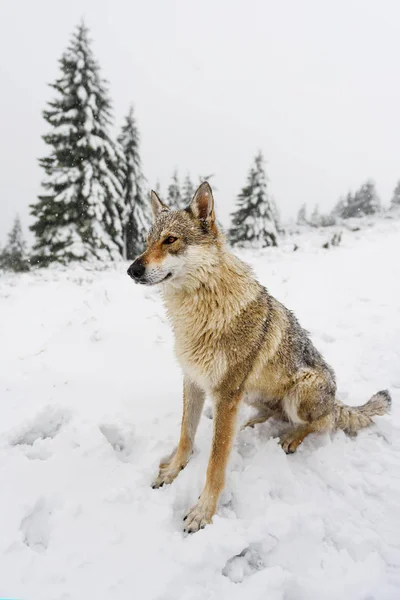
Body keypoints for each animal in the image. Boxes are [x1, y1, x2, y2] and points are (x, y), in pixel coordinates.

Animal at [127, 180, 390, 532]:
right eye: (147, 242)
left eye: (170, 240)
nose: (132, 269)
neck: (200, 313)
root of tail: (336, 399)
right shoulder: (193, 381)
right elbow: (185, 436)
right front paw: (171, 471)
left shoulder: (226, 394)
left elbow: (215, 463)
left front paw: (203, 513)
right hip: (251, 393)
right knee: (274, 414)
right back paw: (252, 424)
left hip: (300, 392)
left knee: (323, 422)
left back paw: (291, 438)